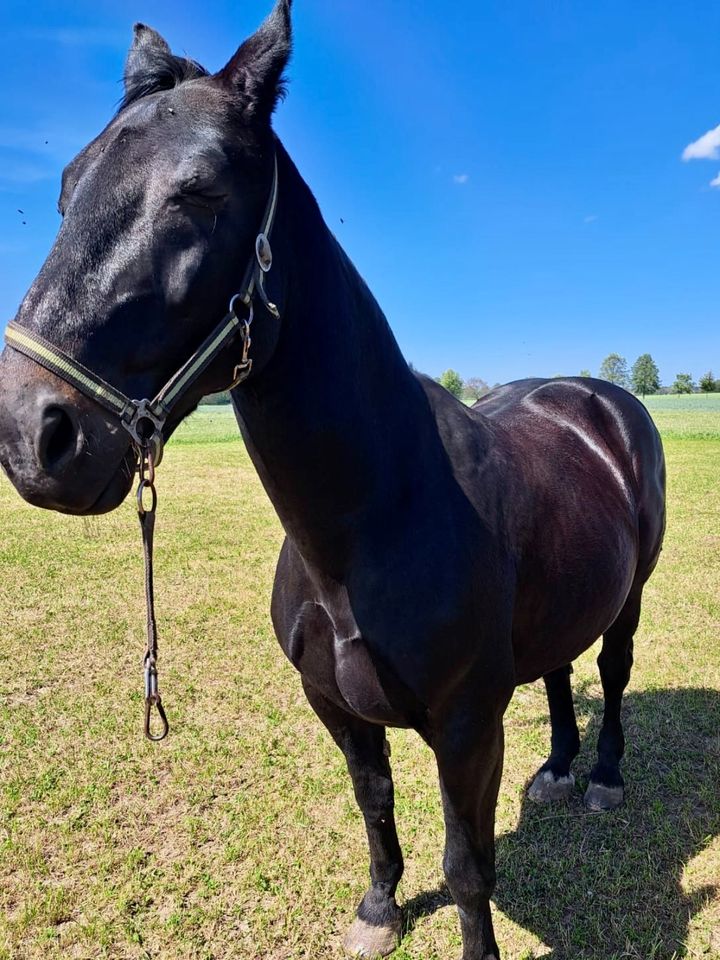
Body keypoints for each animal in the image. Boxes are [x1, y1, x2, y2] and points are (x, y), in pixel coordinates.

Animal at [0, 3, 664, 956]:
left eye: (199, 193)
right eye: (64, 189)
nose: (32, 434)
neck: (371, 521)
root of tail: (596, 397)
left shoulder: (468, 726)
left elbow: (470, 868)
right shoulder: (336, 709)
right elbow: (373, 806)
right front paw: (380, 909)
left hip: (631, 592)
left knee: (610, 668)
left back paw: (602, 773)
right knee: (559, 669)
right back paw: (562, 766)